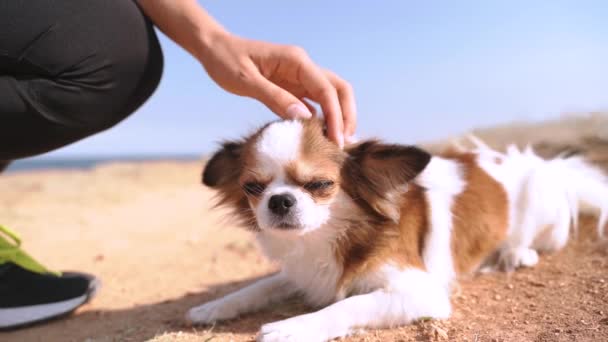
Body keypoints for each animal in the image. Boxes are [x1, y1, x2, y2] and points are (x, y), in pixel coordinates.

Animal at [188, 119, 604, 340]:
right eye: (252, 188)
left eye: (320, 184)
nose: (279, 201)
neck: (328, 238)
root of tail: (547, 165)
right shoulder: (303, 273)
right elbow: (259, 286)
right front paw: (213, 306)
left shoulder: (421, 293)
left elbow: (350, 303)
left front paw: (293, 327)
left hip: (539, 201)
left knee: (536, 242)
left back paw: (515, 253)